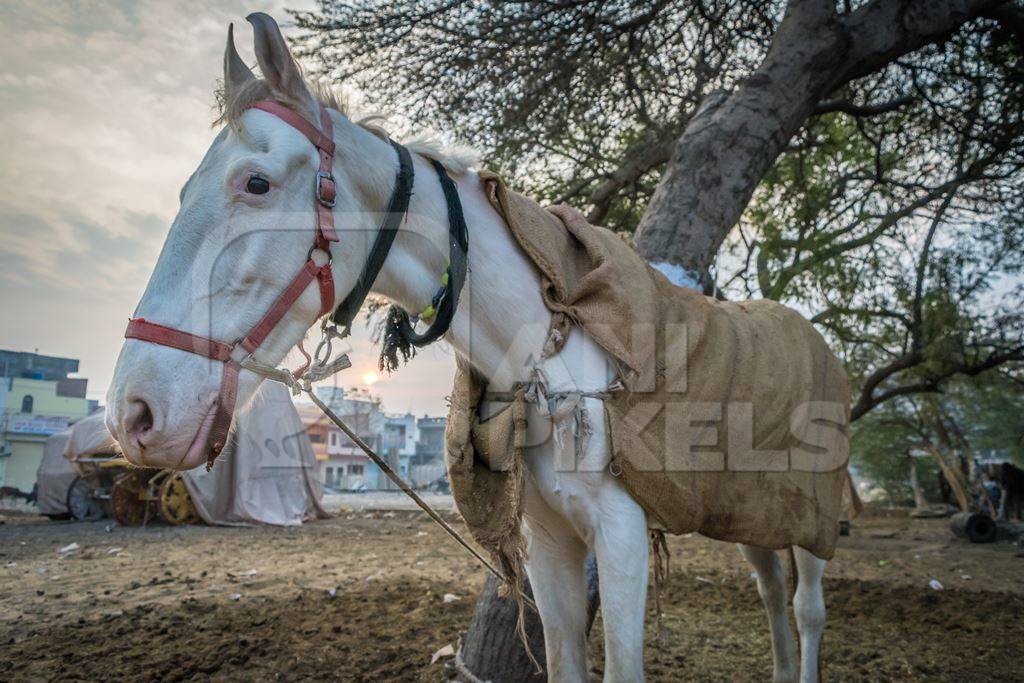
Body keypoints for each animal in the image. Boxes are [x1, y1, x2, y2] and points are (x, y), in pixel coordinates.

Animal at [105, 13, 831, 679]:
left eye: (255, 183)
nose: (131, 413)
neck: (546, 353)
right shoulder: (551, 544)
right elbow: (564, 660)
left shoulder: (621, 536)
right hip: (750, 512)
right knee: (771, 593)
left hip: (811, 511)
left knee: (805, 609)